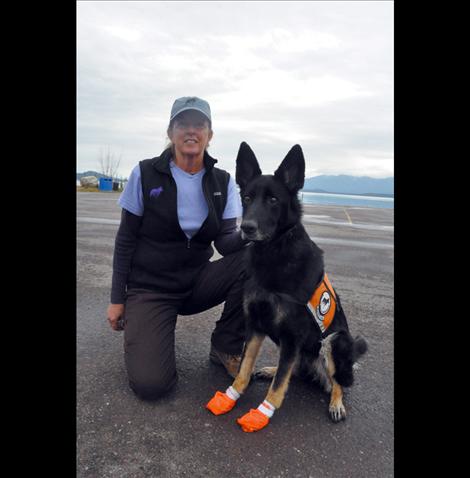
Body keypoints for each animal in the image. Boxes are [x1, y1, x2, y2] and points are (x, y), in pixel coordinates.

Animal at [206, 142, 368, 434]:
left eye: (273, 200)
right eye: (247, 198)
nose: (246, 228)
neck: (274, 253)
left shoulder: (292, 336)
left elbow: (279, 386)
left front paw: (262, 414)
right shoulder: (256, 326)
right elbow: (245, 368)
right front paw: (230, 397)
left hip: (335, 340)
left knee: (337, 382)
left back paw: (336, 403)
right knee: (294, 369)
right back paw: (270, 369)